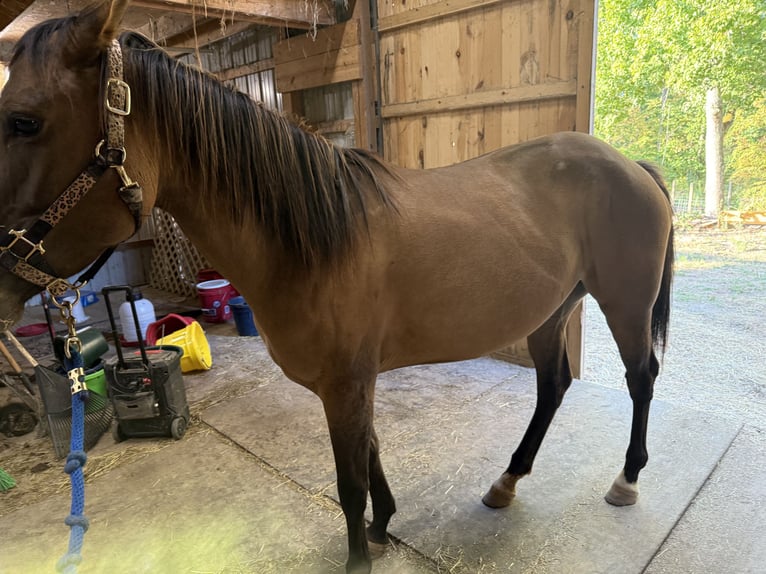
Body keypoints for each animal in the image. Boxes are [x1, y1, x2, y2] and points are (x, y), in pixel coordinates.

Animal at [0, 2, 674, 572]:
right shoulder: (352, 383)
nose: (2, 285)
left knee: (641, 377)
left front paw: (359, 553)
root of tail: (630, 165)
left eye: (24, 121)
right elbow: (370, 458)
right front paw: (381, 529)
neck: (314, 241)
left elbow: (350, 480)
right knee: (553, 385)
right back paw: (506, 481)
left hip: (624, 304)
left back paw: (627, 481)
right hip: (551, 311)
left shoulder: (345, 383)